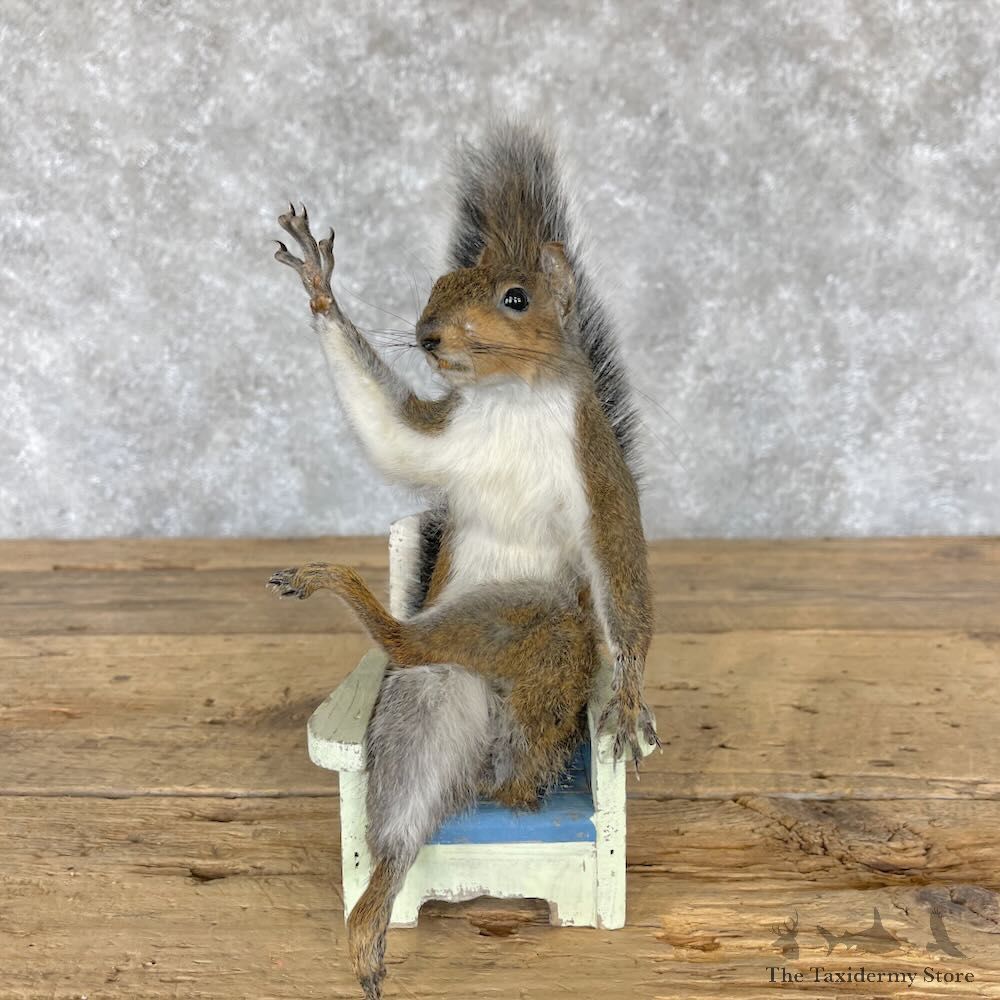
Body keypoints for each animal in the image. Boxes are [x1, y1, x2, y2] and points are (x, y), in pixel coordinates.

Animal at [268, 124, 658, 1000]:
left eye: (516, 298)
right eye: (438, 285)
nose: (427, 335)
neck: (511, 398)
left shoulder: (598, 473)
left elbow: (620, 566)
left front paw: (628, 698)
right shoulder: (440, 438)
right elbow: (389, 433)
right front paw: (321, 288)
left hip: (533, 634)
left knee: (476, 655)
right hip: (427, 697)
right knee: (408, 771)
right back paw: (373, 911)